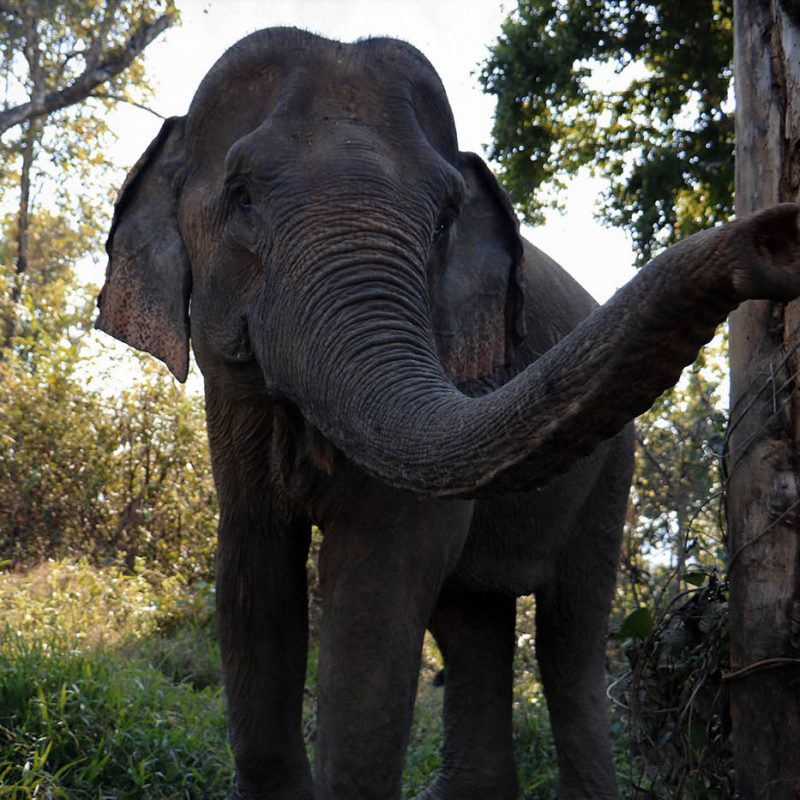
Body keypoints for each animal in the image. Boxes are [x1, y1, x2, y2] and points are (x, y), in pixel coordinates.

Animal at [97, 25, 800, 800]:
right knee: (472, 621)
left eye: (443, 219)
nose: (773, 237)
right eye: (241, 196)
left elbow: (375, 586)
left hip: (613, 469)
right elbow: (254, 574)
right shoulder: (233, 406)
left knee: (569, 641)